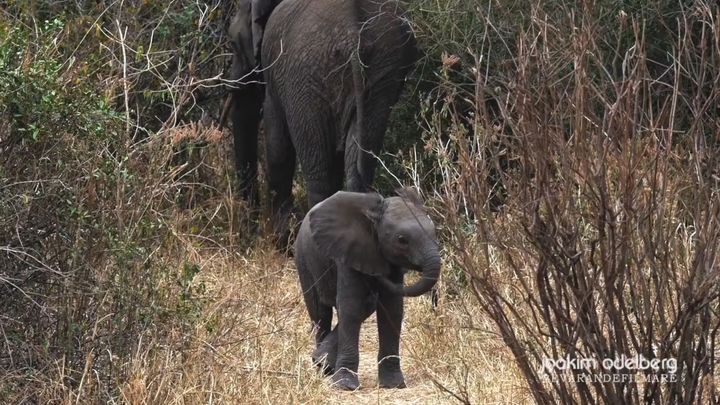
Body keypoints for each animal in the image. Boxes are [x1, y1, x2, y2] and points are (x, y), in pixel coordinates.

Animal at [228, 0, 420, 238]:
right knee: (358, 165)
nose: (249, 228)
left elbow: (277, 146)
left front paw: (278, 239)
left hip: (306, 78)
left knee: (319, 172)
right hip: (382, 75)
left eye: (233, 42)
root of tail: (354, 34)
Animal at [292, 188, 438, 390]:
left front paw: (393, 384)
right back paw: (322, 368)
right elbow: (351, 308)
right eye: (402, 240)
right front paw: (345, 385)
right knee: (320, 314)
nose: (379, 275)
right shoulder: (346, 252)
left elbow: (392, 311)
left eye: (434, 232)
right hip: (304, 258)